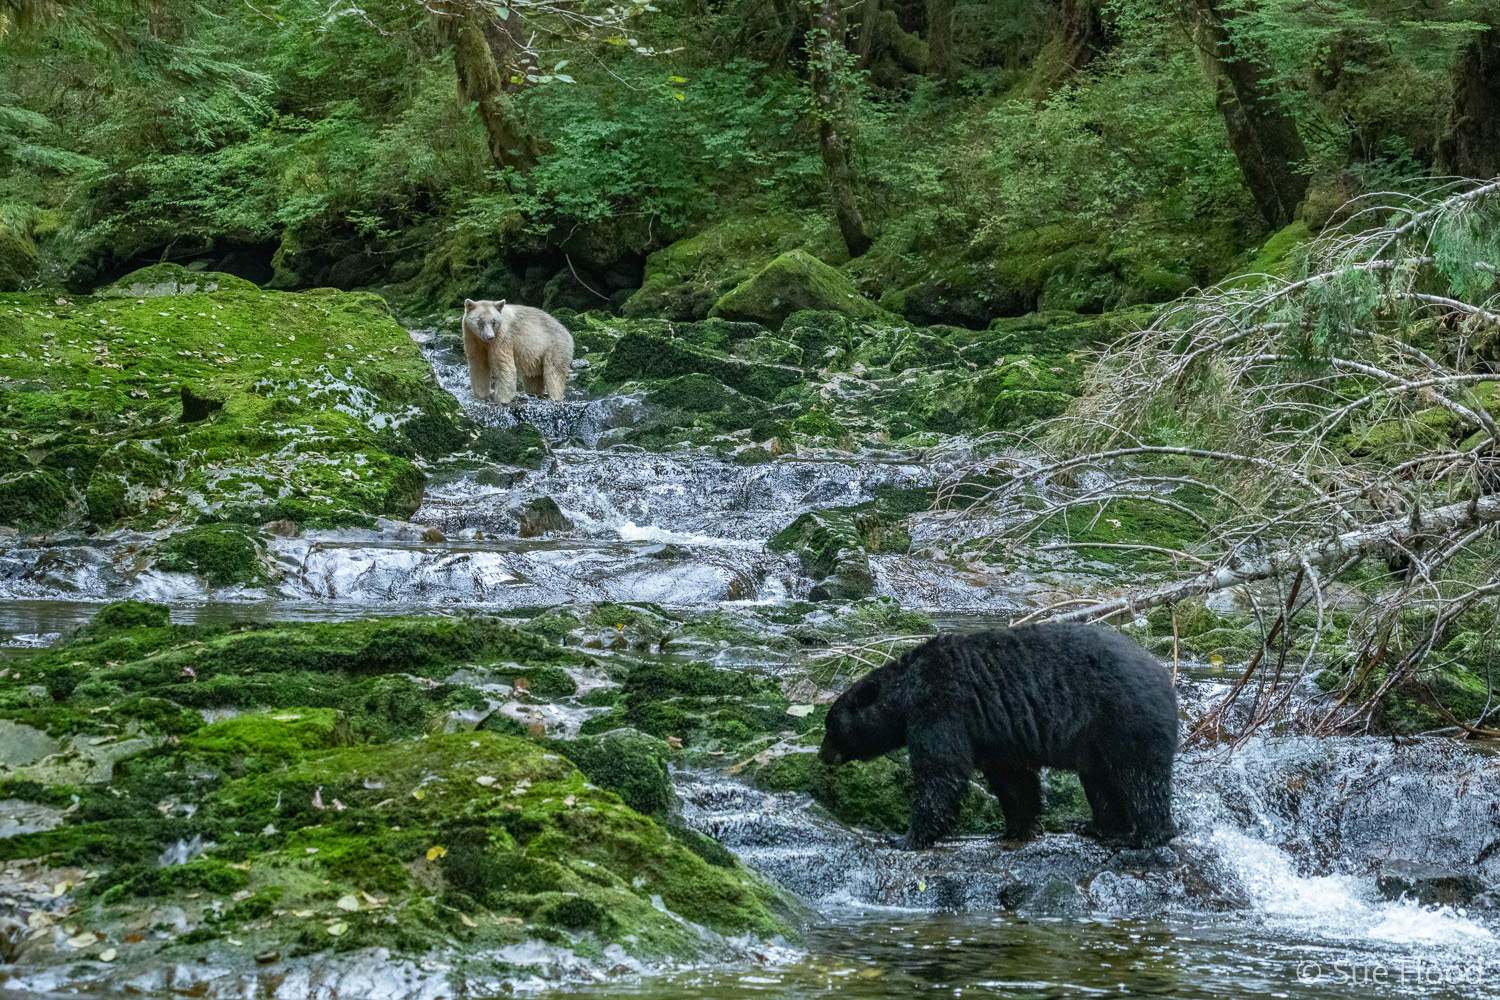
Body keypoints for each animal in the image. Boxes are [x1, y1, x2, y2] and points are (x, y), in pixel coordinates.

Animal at [816, 629, 1176, 851]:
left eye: (830, 728)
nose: (822, 756)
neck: (907, 690)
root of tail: (1163, 677)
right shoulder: (996, 735)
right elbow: (1013, 779)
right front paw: (1016, 828)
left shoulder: (941, 708)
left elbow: (940, 771)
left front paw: (907, 838)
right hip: (1096, 741)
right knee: (1101, 782)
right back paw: (1099, 827)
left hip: (1124, 721)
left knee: (1140, 779)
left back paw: (1143, 836)